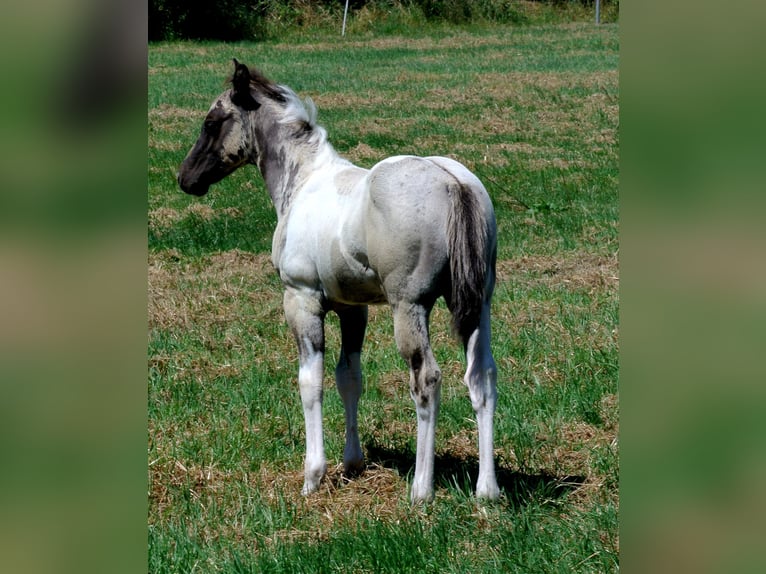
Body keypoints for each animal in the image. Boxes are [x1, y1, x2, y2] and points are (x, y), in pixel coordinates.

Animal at [178, 59, 500, 503]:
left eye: (212, 122)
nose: (185, 178)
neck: (303, 181)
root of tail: (455, 184)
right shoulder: (353, 307)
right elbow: (349, 377)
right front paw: (352, 462)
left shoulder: (301, 298)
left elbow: (310, 381)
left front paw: (313, 475)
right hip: (477, 303)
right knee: (482, 376)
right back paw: (488, 490)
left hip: (410, 306)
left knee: (427, 380)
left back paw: (421, 489)